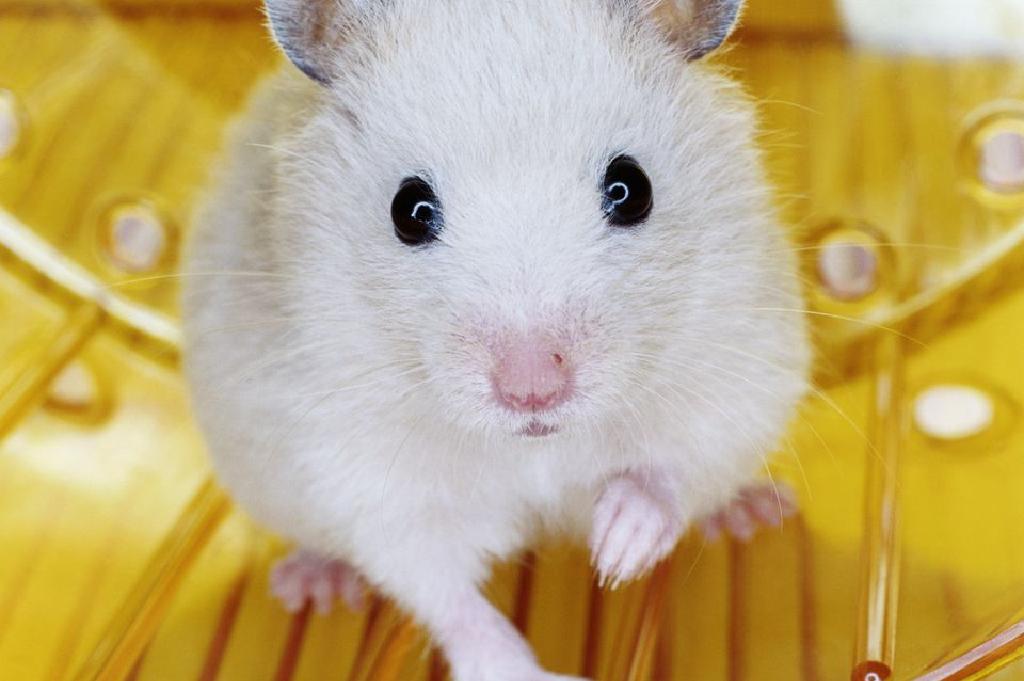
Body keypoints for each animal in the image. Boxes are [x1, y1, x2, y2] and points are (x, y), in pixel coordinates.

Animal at [181, 1, 809, 679]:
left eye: (630, 189)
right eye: (409, 210)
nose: (532, 390)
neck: (534, 446)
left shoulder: (738, 362)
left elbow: (674, 469)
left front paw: (617, 552)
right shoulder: (370, 476)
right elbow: (443, 589)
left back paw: (756, 514)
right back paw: (313, 587)